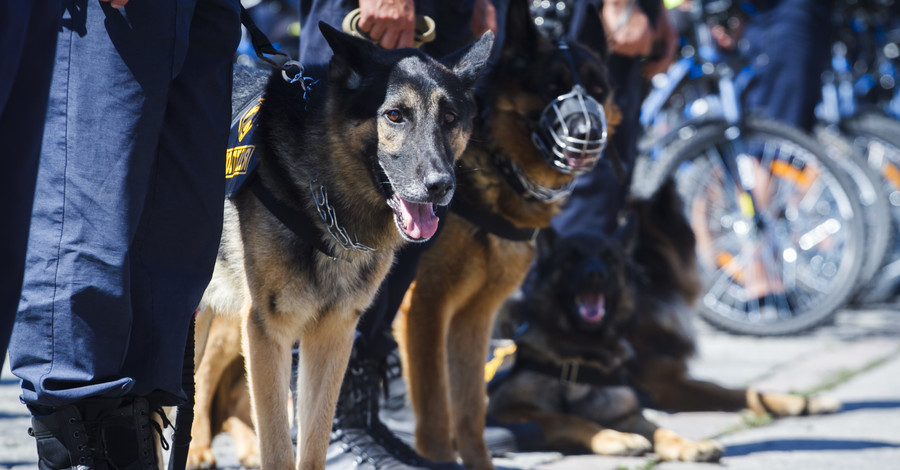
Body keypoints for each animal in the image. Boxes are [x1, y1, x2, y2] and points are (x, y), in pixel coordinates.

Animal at [188, 25, 492, 470]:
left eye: (449, 119)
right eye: (394, 115)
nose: (441, 186)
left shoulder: (332, 337)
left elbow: (314, 445)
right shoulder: (267, 335)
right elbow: (277, 448)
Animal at [394, 1, 620, 468]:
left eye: (598, 90)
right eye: (551, 86)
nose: (588, 134)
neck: (496, 166)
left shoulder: (473, 318)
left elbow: (469, 412)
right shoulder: (423, 309)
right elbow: (436, 408)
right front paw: (438, 459)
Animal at [482, 182, 840, 460]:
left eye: (611, 260)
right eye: (572, 258)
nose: (596, 275)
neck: (581, 356)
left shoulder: (635, 407)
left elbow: (719, 402)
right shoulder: (511, 411)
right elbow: (573, 420)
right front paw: (615, 440)